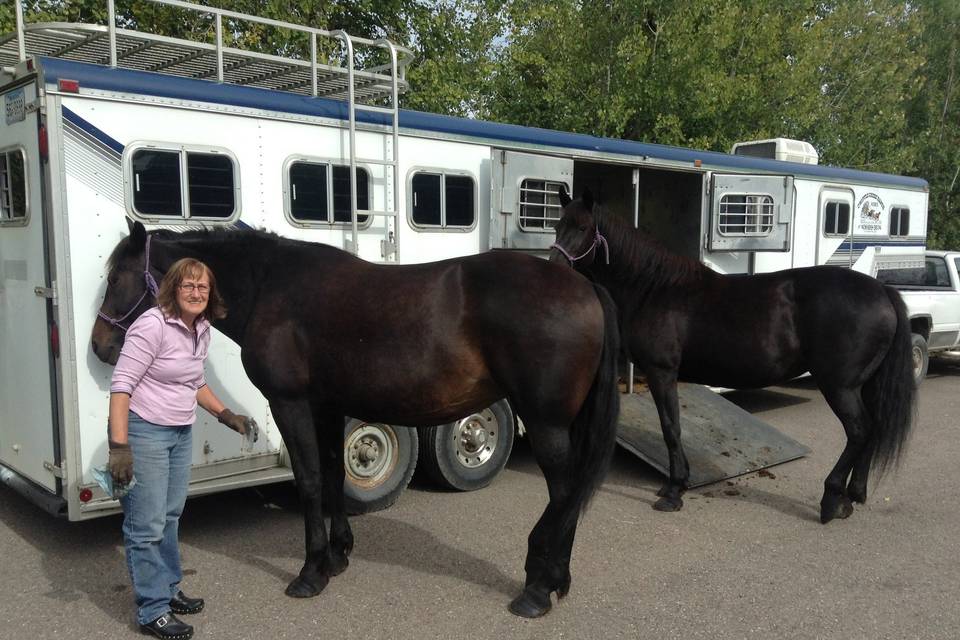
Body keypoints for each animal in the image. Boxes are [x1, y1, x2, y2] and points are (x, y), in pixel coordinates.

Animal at [94, 221, 620, 620]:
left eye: (117, 278)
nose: (101, 346)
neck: (270, 287)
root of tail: (584, 287)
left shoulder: (291, 404)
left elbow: (309, 481)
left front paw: (310, 573)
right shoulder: (327, 406)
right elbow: (331, 475)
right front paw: (338, 554)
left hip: (547, 424)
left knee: (564, 492)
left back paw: (537, 588)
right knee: (569, 494)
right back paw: (553, 579)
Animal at [548, 190, 916, 524]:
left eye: (583, 228)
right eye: (557, 225)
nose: (557, 268)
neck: (655, 288)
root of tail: (881, 291)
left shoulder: (661, 371)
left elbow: (671, 427)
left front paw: (673, 491)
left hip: (839, 386)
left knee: (859, 431)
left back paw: (831, 500)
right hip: (862, 385)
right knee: (872, 430)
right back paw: (851, 497)